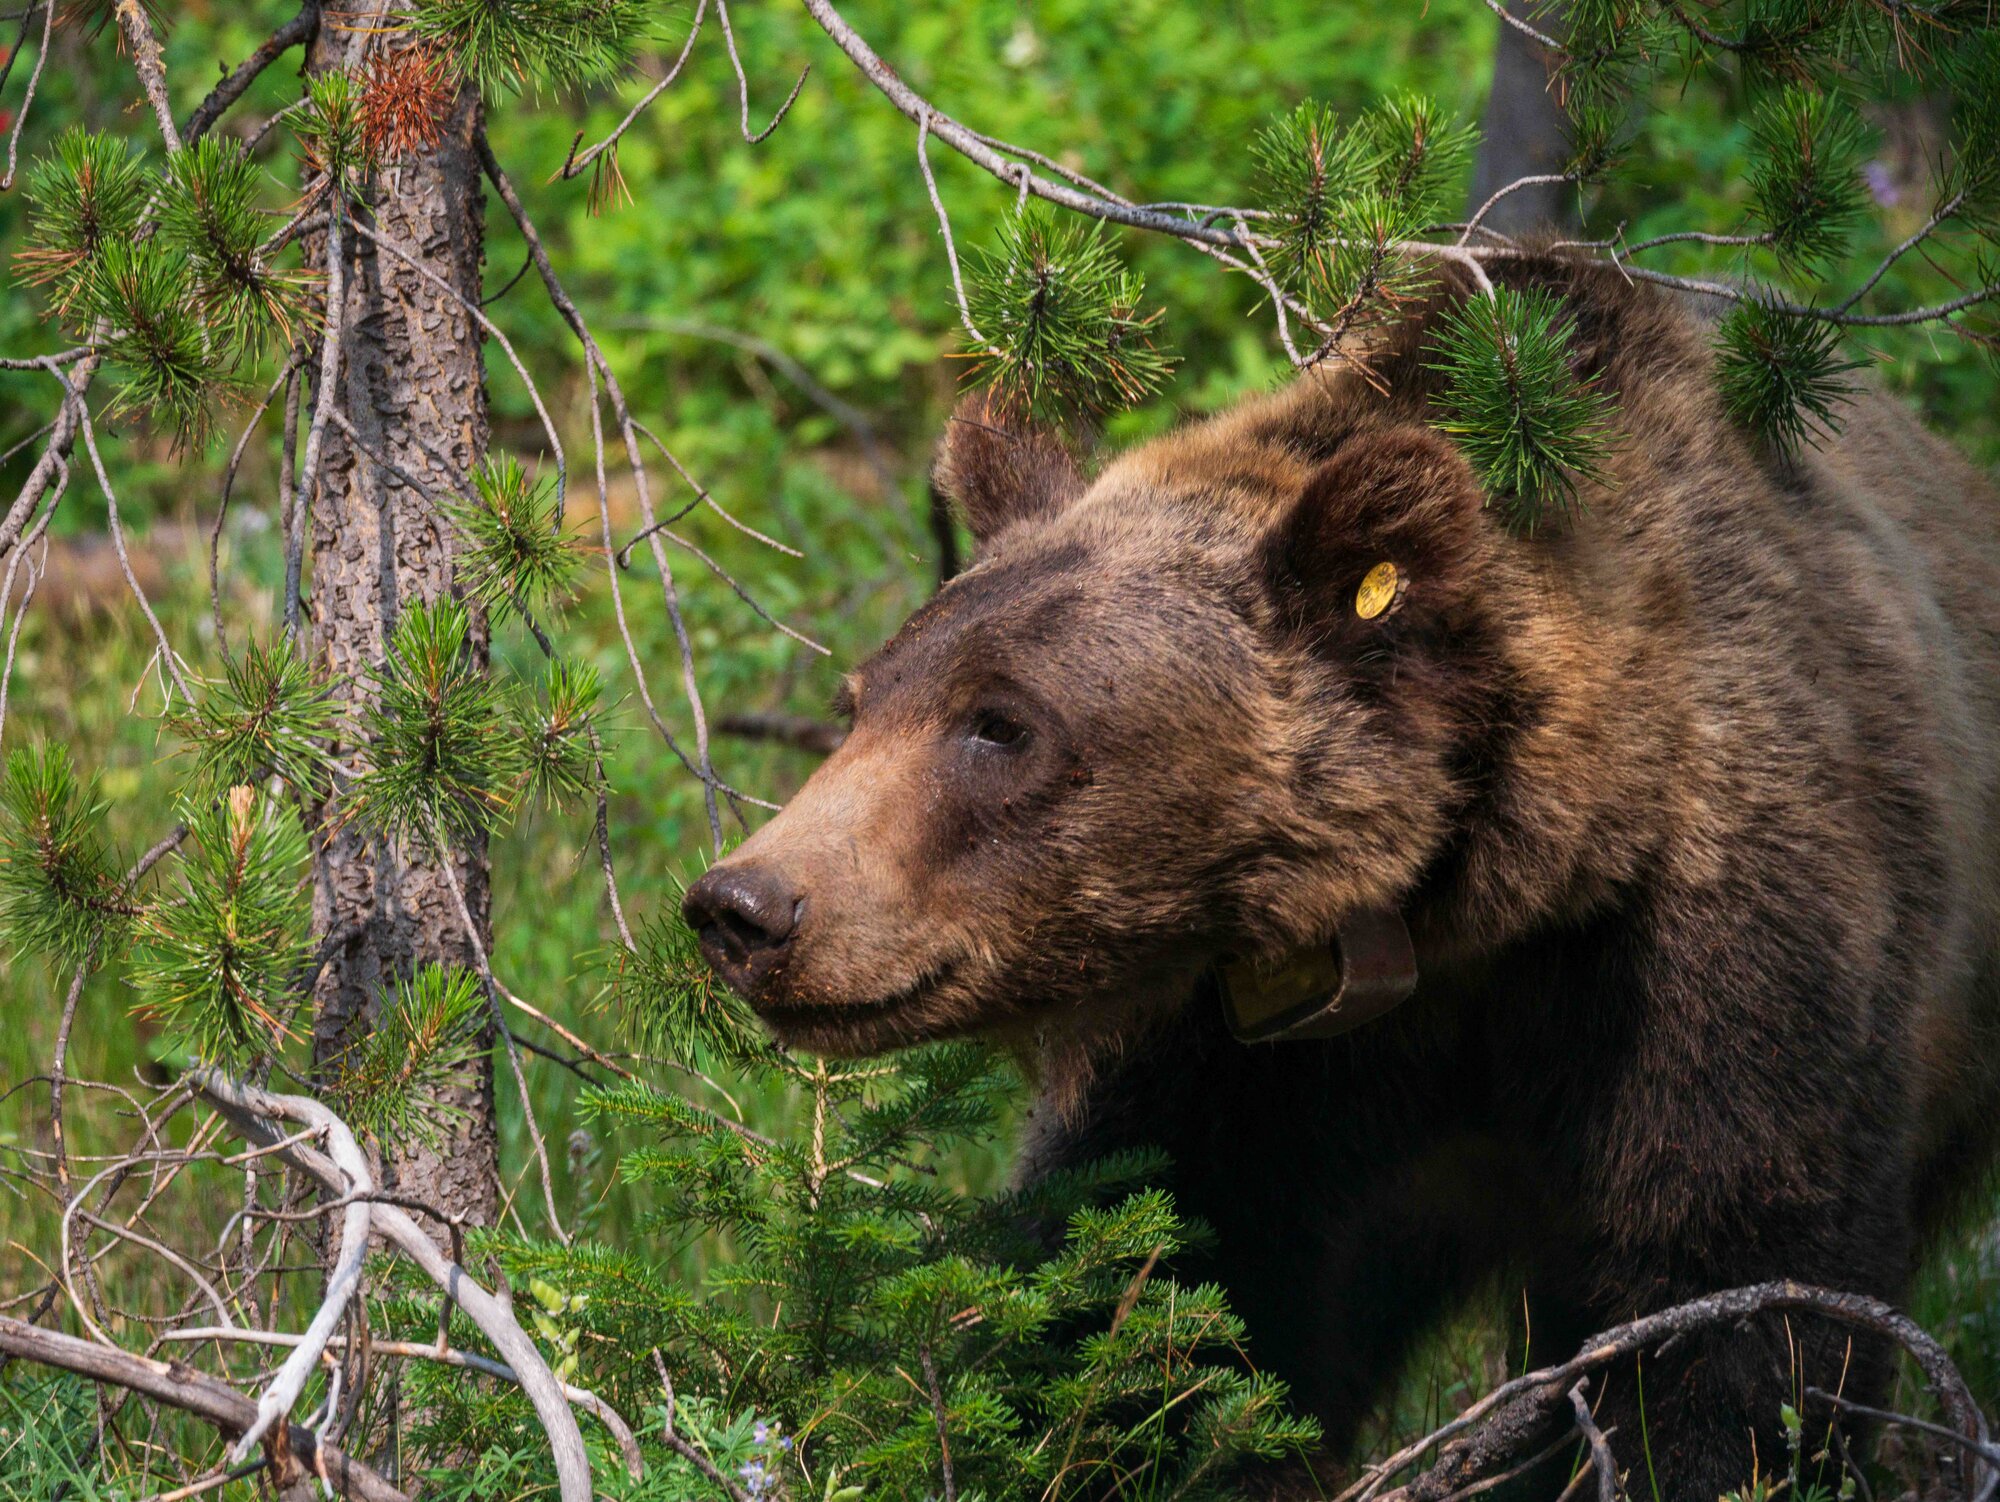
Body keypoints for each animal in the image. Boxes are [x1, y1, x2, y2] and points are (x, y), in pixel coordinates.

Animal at [682, 252, 2000, 1500]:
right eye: (861, 699)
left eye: (1001, 722)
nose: (744, 904)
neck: (1475, 910)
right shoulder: (1256, 1054)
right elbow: (1169, 1291)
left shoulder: (1723, 940)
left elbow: (1732, 1296)